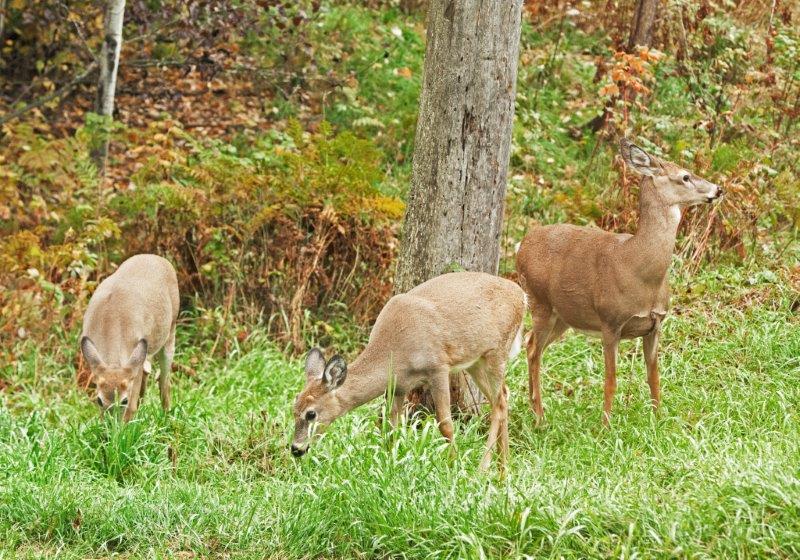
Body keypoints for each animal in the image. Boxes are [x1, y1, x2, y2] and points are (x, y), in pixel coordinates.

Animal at [80, 254, 179, 422]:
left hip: (171, 332)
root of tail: (159, 258)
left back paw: (167, 416)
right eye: (99, 400)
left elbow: (132, 405)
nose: (112, 425)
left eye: (124, 401)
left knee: (165, 382)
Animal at [290, 271, 526, 473]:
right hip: (476, 362)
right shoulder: (399, 386)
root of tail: (522, 296)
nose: (296, 449)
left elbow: (445, 424)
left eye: (311, 413)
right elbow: (389, 426)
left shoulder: (438, 367)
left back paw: (484, 468)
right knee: (503, 396)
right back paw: (503, 469)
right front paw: (389, 465)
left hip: (496, 352)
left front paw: (453, 466)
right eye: (294, 408)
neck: (394, 352)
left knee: (499, 401)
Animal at [516, 138, 723, 425]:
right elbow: (610, 380)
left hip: (563, 315)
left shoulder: (656, 324)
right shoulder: (610, 321)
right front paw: (605, 425)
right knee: (534, 349)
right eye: (685, 176)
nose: (718, 189)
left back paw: (534, 408)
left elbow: (654, 376)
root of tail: (521, 246)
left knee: (530, 343)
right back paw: (540, 417)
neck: (639, 270)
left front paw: (658, 419)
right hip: (539, 301)